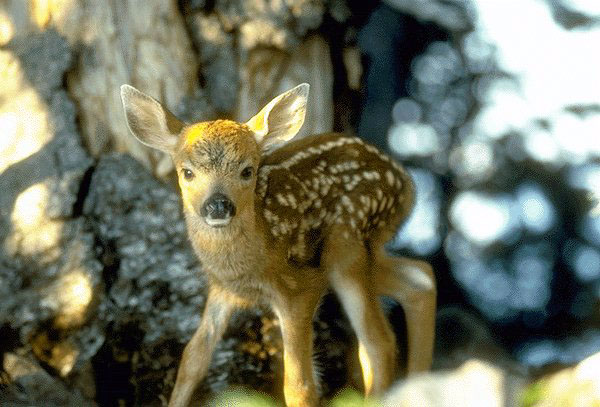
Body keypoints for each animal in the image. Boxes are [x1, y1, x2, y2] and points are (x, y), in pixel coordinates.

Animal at [119, 83, 436, 407]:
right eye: (187, 172)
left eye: (247, 170)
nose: (218, 205)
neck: (251, 262)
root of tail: (408, 185)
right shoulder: (223, 289)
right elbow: (192, 360)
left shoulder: (299, 288)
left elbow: (299, 386)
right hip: (362, 249)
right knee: (419, 277)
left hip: (346, 243)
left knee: (378, 342)